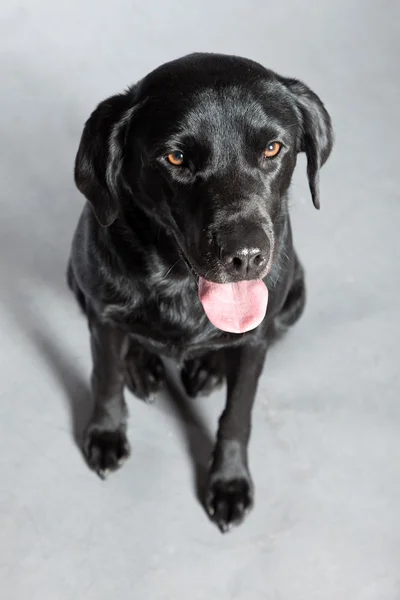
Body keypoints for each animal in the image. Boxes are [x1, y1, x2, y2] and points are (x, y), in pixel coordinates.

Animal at [67, 51, 332, 528]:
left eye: (272, 148)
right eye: (175, 158)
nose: (245, 256)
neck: (180, 284)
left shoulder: (257, 340)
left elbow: (237, 414)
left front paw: (228, 482)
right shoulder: (102, 314)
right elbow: (106, 378)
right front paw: (107, 433)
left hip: (294, 301)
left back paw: (208, 367)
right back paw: (142, 366)